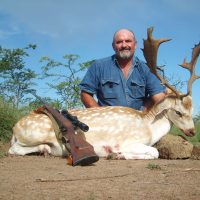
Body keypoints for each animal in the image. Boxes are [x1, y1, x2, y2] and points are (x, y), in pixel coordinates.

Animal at [8, 27, 200, 160]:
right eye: (178, 112)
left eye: (192, 110)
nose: (192, 131)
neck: (149, 127)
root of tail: (15, 127)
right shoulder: (129, 140)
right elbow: (155, 152)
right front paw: (116, 154)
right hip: (34, 133)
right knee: (13, 149)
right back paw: (46, 150)